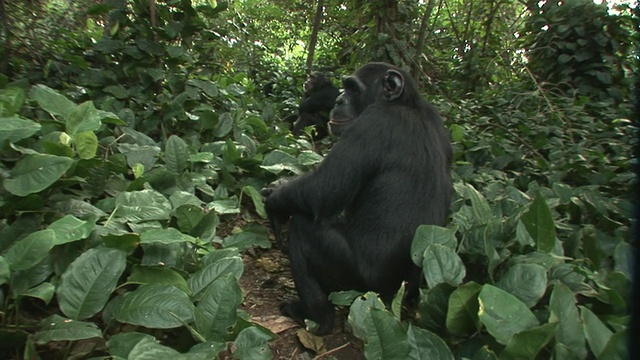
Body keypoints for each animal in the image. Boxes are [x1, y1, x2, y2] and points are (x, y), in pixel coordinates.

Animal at [262, 62, 452, 334]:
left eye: (352, 88)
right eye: (345, 87)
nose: (339, 99)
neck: (406, 104)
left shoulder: (371, 124)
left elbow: (323, 188)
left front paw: (275, 199)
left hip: (356, 282)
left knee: (302, 228)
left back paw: (316, 318)